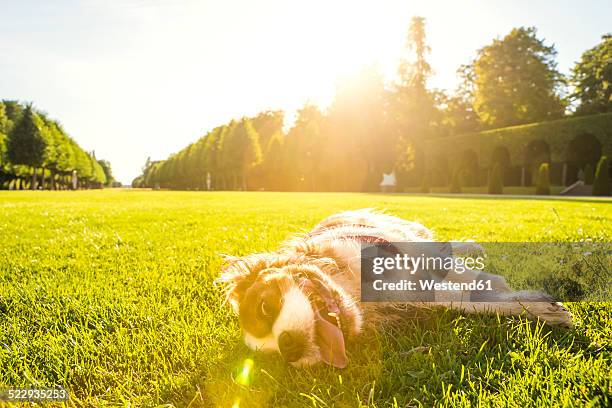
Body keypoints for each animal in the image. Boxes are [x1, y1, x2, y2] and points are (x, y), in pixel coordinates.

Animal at [216, 210, 572, 370]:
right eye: (275, 357)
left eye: (265, 306)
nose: (288, 347)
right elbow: (459, 298)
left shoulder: (411, 254)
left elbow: (462, 285)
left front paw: (540, 308)